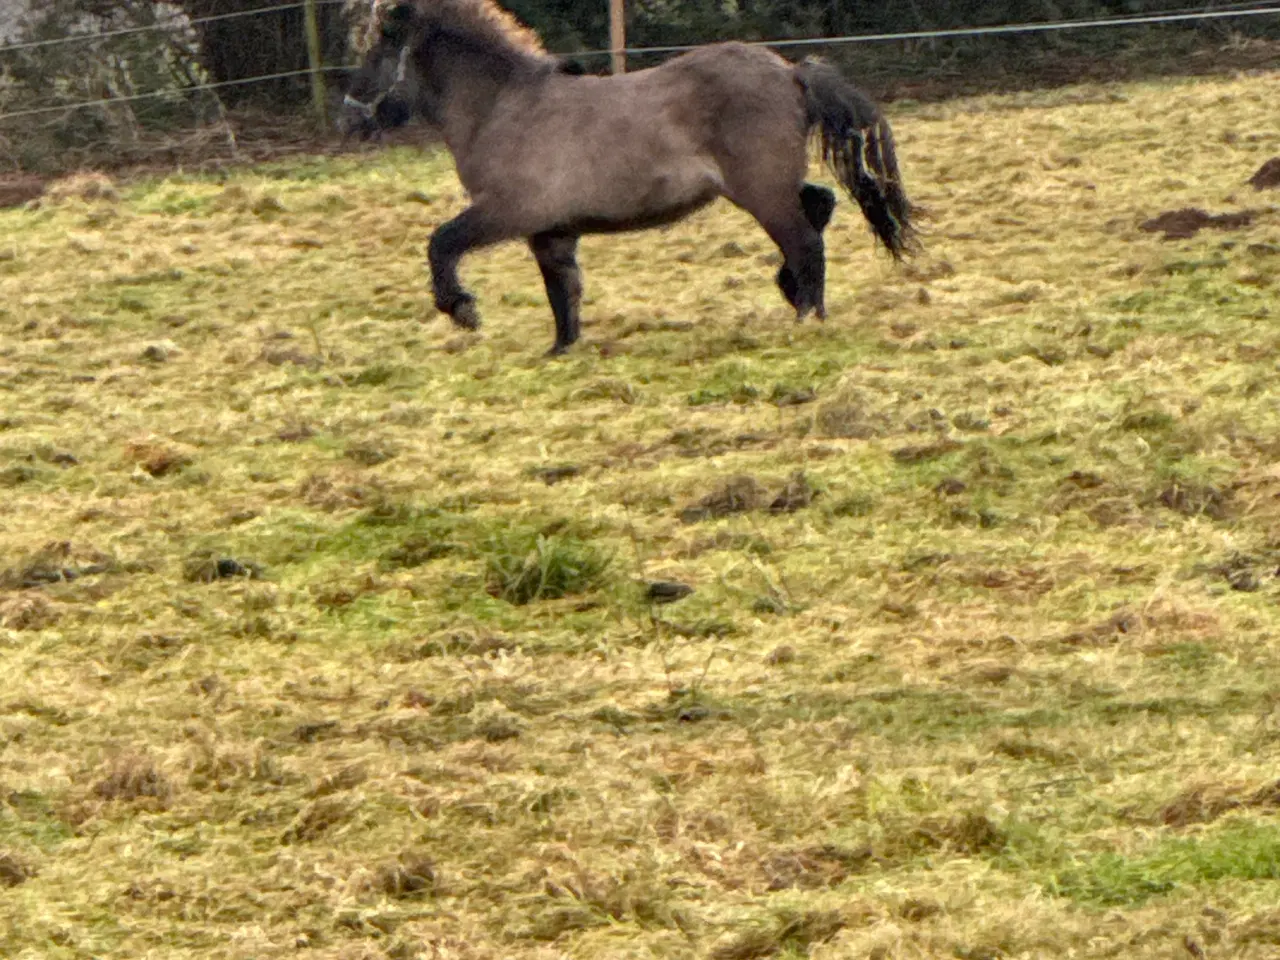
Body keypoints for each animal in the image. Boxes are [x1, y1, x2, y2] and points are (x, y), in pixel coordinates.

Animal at [345, 0, 916, 358]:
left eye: (380, 49)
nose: (350, 118)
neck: (503, 108)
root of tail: (790, 71)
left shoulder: (508, 211)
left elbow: (441, 242)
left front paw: (461, 308)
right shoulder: (552, 230)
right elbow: (563, 292)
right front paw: (561, 350)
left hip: (762, 192)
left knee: (805, 242)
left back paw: (805, 317)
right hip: (771, 187)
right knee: (819, 207)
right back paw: (793, 295)